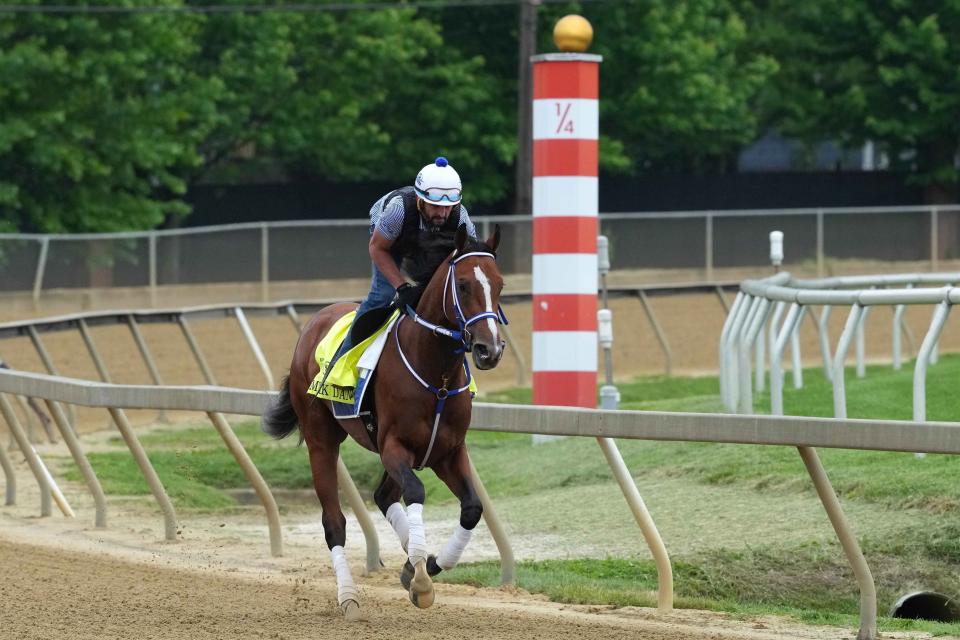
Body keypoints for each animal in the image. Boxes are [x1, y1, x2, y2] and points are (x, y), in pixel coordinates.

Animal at [258, 224, 506, 620]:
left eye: (499, 285)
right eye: (464, 285)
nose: (490, 349)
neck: (436, 374)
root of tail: (315, 321)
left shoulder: (447, 451)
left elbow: (472, 507)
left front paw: (425, 564)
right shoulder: (394, 446)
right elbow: (416, 492)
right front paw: (420, 577)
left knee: (382, 495)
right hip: (321, 440)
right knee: (334, 523)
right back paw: (348, 597)